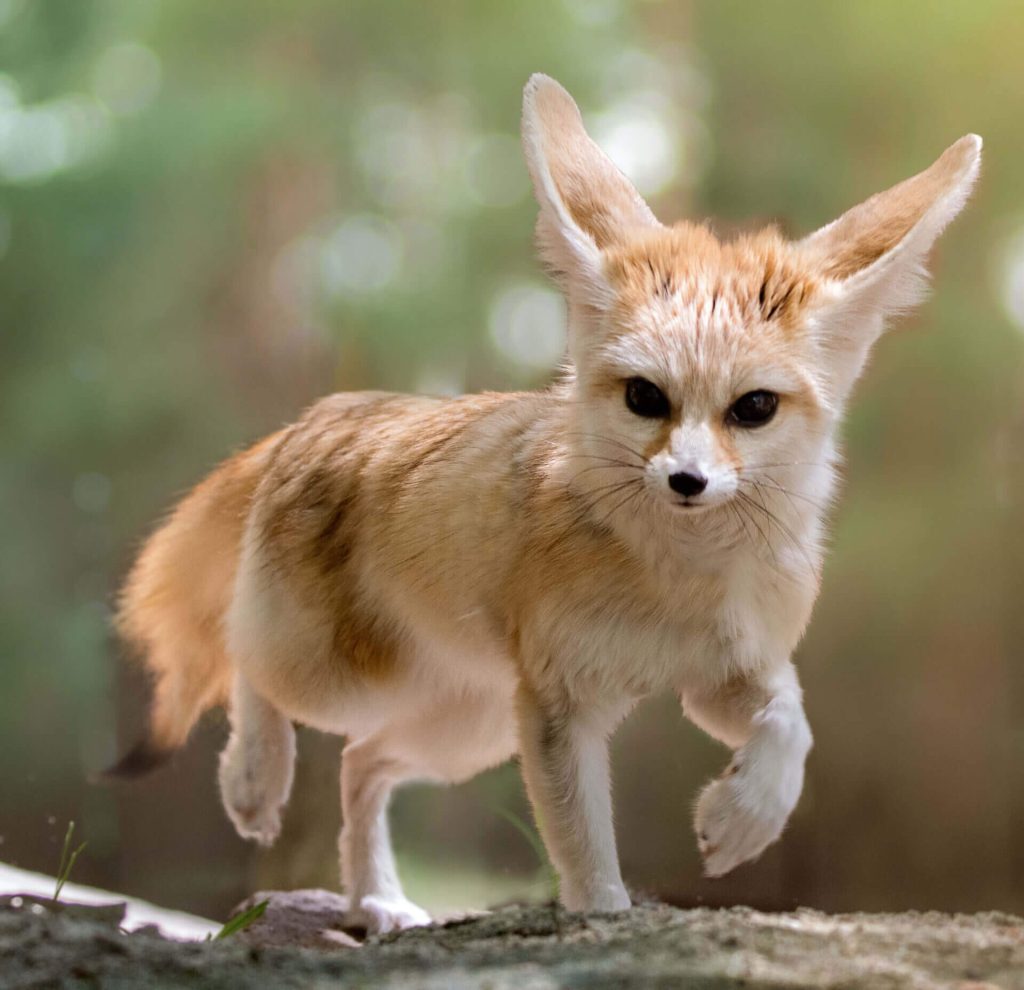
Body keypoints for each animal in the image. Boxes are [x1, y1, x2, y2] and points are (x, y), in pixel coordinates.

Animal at [108, 73, 978, 933]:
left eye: (754, 408)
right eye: (645, 397)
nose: (687, 481)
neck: (680, 578)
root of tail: (320, 413)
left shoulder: (725, 677)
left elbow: (791, 727)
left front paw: (743, 818)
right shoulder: (566, 703)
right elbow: (583, 841)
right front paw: (605, 913)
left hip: (471, 725)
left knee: (363, 761)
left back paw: (376, 898)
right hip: (343, 678)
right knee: (246, 659)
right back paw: (255, 780)